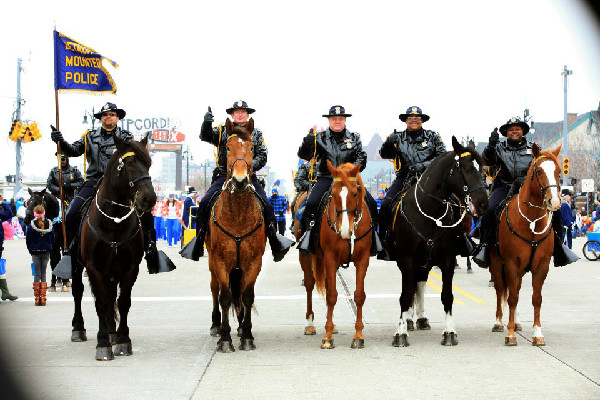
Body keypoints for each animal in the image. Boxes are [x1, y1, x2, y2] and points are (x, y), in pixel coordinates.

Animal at [71, 133, 157, 360]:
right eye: (129, 163)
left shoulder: (129, 267)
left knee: (111, 297)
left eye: (148, 163)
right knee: (78, 291)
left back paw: (112, 332)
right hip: (77, 264)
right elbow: (100, 303)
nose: (149, 199)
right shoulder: (93, 267)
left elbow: (123, 301)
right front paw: (103, 344)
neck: (113, 222)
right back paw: (78, 328)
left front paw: (123, 340)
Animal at [207, 118, 266, 354]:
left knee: (239, 292)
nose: (239, 181)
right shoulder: (220, 260)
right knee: (214, 289)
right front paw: (225, 339)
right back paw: (216, 325)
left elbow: (247, 296)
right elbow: (224, 297)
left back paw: (240, 327)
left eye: (251, 148)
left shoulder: (253, 261)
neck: (239, 214)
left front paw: (247, 335)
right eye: (228, 148)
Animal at [310, 161, 370, 348]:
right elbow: (331, 296)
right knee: (310, 286)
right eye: (334, 193)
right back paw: (310, 325)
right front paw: (328, 336)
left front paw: (358, 335)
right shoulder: (330, 258)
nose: (344, 231)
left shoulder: (363, 259)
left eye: (355, 192)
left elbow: (359, 296)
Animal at [390, 136, 488, 346]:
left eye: (482, 169)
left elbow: (447, 296)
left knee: (420, 284)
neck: (430, 214)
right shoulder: (407, 260)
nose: (484, 203)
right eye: (466, 168)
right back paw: (409, 320)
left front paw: (449, 332)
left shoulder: (447, 259)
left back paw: (420, 318)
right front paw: (400, 333)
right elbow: (405, 296)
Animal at [490, 144, 564, 346]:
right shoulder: (511, 264)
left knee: (516, 288)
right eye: (539, 171)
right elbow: (512, 297)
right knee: (500, 290)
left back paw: (516, 323)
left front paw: (537, 333)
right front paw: (510, 334)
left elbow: (536, 298)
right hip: (497, 263)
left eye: (558, 172)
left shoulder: (542, 265)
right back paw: (499, 322)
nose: (554, 202)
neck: (531, 222)